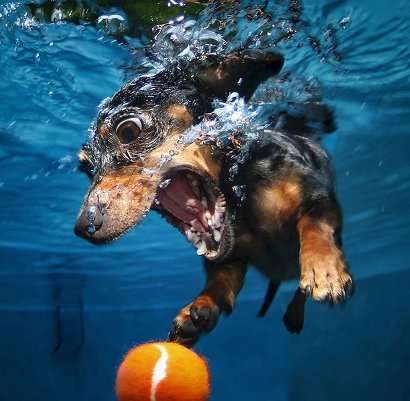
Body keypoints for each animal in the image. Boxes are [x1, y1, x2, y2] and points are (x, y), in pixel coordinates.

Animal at [73, 50, 352, 344]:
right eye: (85, 168)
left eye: (128, 131)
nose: (83, 227)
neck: (237, 192)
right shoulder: (229, 260)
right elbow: (219, 284)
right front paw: (199, 308)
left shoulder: (321, 200)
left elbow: (313, 225)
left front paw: (324, 267)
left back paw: (297, 308)